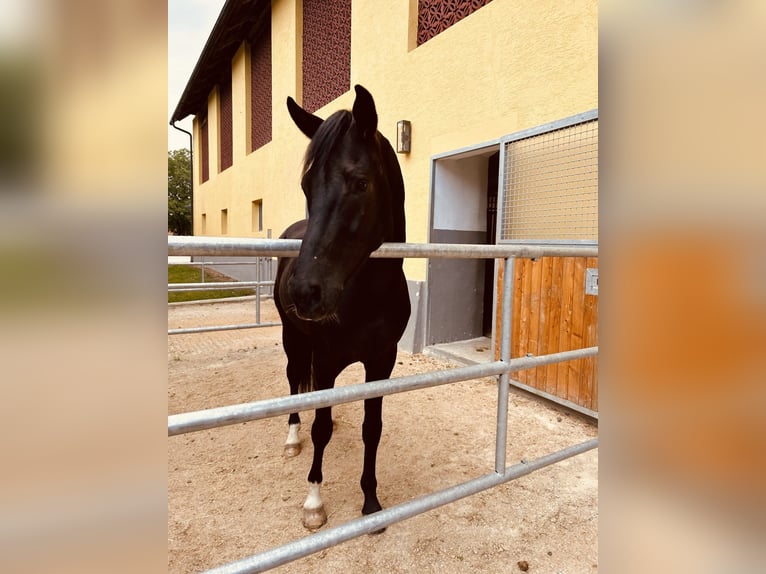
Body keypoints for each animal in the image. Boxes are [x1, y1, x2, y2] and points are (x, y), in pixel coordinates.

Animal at [272, 85, 412, 532]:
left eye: (360, 182)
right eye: (306, 186)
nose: (305, 292)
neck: (367, 297)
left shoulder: (381, 361)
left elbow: (373, 428)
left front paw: (371, 501)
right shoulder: (327, 358)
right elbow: (320, 430)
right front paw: (314, 502)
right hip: (293, 338)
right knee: (295, 382)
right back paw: (291, 439)